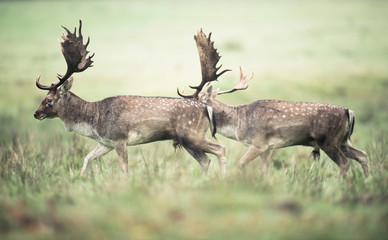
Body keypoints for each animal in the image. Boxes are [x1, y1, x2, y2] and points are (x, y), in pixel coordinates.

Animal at [35, 21, 227, 176]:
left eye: (49, 100)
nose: (36, 114)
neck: (93, 120)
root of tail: (206, 108)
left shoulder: (119, 138)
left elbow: (124, 168)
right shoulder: (106, 142)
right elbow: (87, 157)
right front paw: (81, 177)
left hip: (192, 134)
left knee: (221, 149)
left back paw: (222, 179)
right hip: (187, 140)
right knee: (205, 160)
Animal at [177, 29, 368, 177]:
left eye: (194, 100)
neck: (238, 125)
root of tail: (349, 112)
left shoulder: (259, 143)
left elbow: (240, 164)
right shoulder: (268, 148)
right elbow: (265, 170)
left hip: (329, 140)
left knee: (345, 163)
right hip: (342, 140)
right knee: (363, 154)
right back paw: (366, 180)